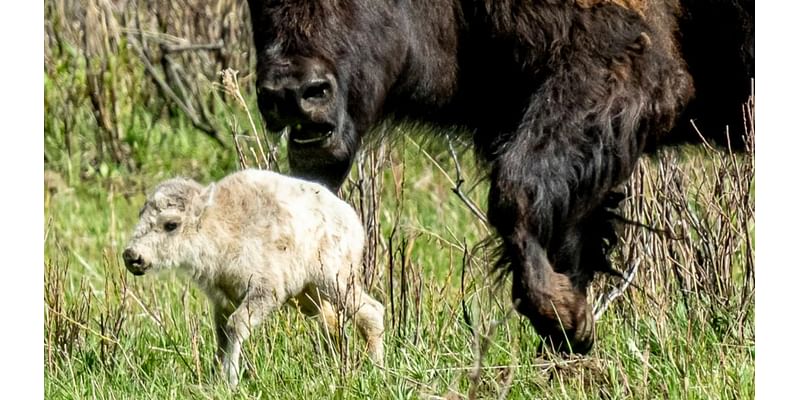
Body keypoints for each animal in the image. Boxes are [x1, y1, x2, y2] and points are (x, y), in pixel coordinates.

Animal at [123, 170, 386, 388]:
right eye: (141, 214)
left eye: (171, 224)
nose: (132, 256)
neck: (220, 224)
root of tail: (352, 218)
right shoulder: (223, 300)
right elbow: (222, 334)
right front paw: (215, 377)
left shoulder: (265, 291)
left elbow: (236, 325)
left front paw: (230, 380)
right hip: (309, 296)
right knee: (332, 323)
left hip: (335, 279)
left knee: (370, 311)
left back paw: (376, 369)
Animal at [247, 0, 752, 354]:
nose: (294, 93)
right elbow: (563, 233)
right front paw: (572, 331)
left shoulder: (618, 71)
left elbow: (515, 191)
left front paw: (564, 318)